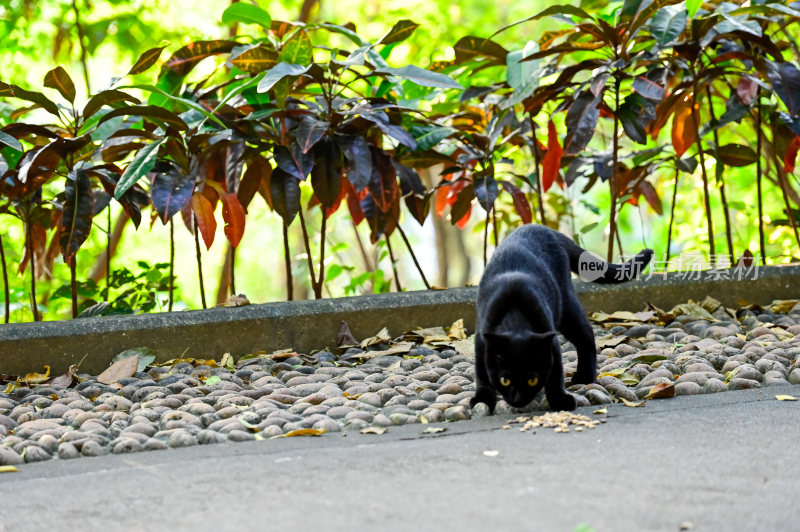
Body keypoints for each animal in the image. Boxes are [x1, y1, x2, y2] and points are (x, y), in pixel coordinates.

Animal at [472, 224, 652, 412]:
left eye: (532, 380)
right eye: (505, 380)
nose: (518, 399)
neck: (516, 322)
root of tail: (541, 228)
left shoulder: (549, 341)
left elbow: (555, 374)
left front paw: (560, 400)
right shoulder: (482, 343)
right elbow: (482, 374)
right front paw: (482, 400)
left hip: (566, 306)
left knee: (586, 335)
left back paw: (584, 377)